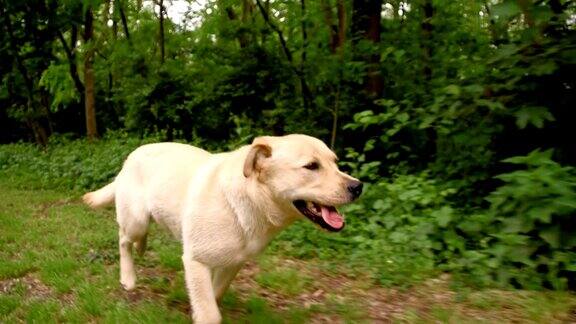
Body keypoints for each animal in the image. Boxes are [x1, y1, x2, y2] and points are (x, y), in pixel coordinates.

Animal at [83, 135, 362, 324]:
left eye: (335, 163)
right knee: (123, 240)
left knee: (137, 239)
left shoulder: (232, 264)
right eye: (312, 166)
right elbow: (209, 312)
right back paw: (128, 277)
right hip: (136, 220)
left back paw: (142, 249)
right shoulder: (196, 261)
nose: (358, 187)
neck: (247, 202)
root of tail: (130, 157)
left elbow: (214, 297)